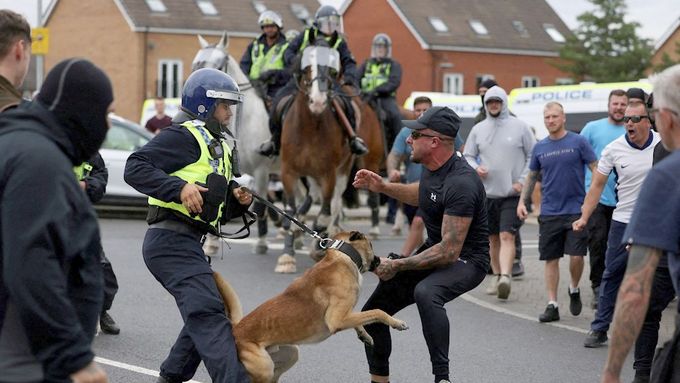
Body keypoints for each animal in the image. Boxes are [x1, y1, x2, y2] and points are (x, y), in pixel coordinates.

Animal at [212, 231, 410, 383]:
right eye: (370, 244)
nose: (380, 259)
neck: (343, 256)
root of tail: (235, 329)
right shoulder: (337, 319)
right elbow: (377, 311)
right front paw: (396, 323)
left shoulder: (345, 315)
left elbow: (361, 319)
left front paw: (364, 334)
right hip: (264, 367)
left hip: (290, 353)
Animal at [274, 44, 354, 272]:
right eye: (307, 66)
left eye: (333, 70)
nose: (318, 101)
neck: (309, 127)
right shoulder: (288, 172)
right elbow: (291, 212)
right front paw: (287, 256)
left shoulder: (328, 174)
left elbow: (324, 214)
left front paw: (319, 247)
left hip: (342, 171)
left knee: (333, 205)